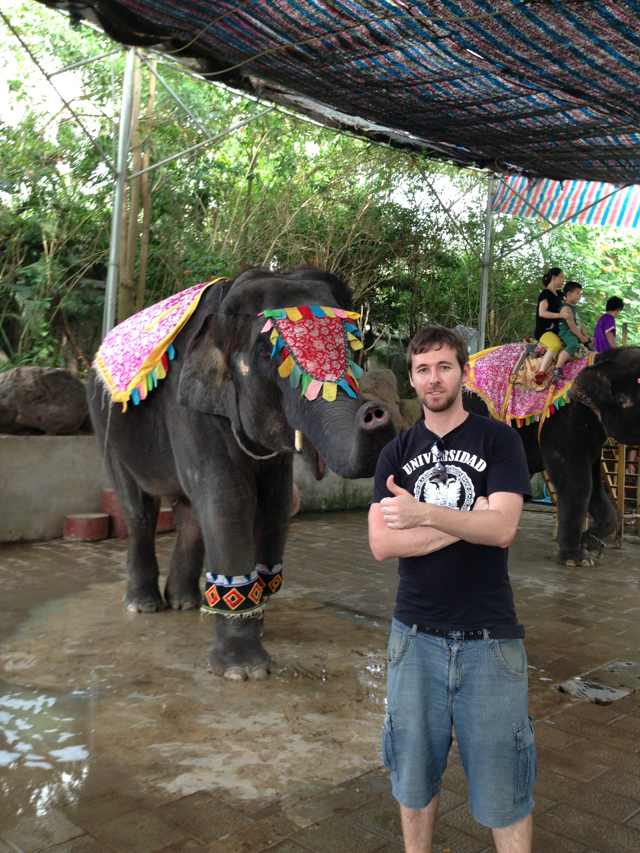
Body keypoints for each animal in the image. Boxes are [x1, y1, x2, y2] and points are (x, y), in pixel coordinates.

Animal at [87, 266, 392, 680]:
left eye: (353, 345)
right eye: (267, 353)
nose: (376, 411)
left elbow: (276, 501)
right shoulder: (190, 407)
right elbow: (229, 499)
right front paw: (244, 671)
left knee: (190, 512)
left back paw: (185, 603)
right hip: (103, 419)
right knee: (139, 509)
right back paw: (144, 606)